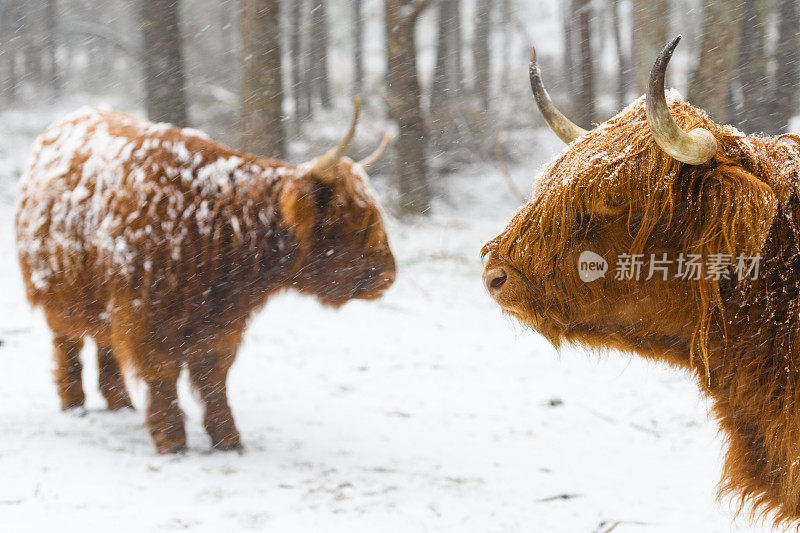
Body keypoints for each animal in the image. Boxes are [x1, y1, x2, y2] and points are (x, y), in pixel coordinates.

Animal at [16, 98, 396, 454]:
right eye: (350, 215)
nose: (388, 276)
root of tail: (69, 120)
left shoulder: (221, 325)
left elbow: (214, 381)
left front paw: (228, 438)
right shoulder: (147, 317)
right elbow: (162, 377)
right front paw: (172, 440)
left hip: (104, 296)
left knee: (105, 342)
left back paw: (119, 401)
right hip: (60, 290)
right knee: (67, 342)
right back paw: (73, 402)